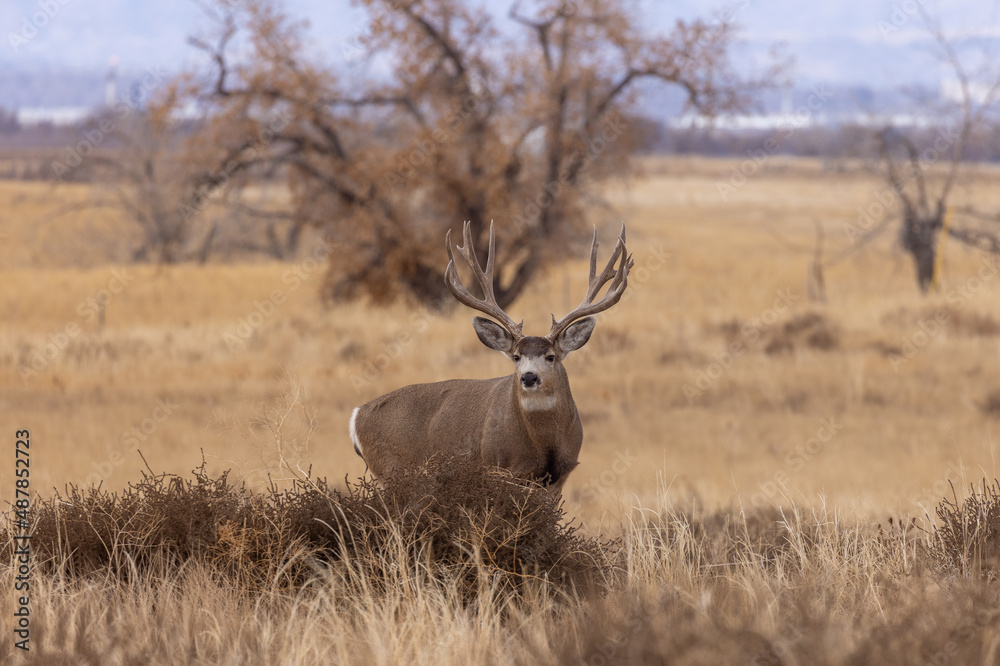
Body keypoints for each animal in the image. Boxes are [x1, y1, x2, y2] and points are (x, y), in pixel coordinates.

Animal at [349, 221, 632, 494]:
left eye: (551, 356)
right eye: (516, 356)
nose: (529, 377)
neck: (544, 444)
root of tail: (357, 416)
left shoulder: (560, 476)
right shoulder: (498, 467)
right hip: (392, 469)